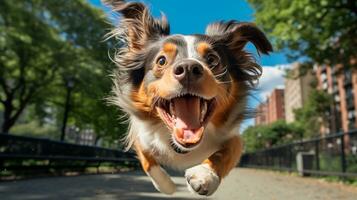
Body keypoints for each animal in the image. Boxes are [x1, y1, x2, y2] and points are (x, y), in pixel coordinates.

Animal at [104, 0, 272, 196]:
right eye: (161, 61)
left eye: (212, 59)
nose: (188, 69)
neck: (182, 148)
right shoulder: (141, 136)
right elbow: (147, 160)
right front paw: (167, 186)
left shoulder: (233, 137)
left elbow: (226, 152)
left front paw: (205, 175)